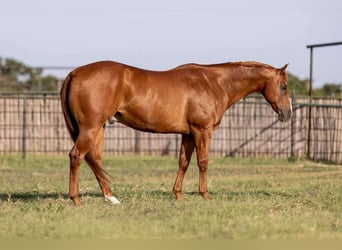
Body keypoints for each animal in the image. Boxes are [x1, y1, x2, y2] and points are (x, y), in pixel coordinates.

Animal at [60, 60, 292, 205]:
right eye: (283, 86)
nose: (287, 113)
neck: (214, 83)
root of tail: (75, 72)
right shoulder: (202, 131)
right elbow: (203, 162)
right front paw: (205, 195)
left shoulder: (188, 134)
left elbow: (183, 162)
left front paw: (178, 195)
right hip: (90, 128)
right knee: (77, 156)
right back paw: (76, 199)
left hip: (98, 129)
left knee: (95, 160)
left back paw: (111, 198)